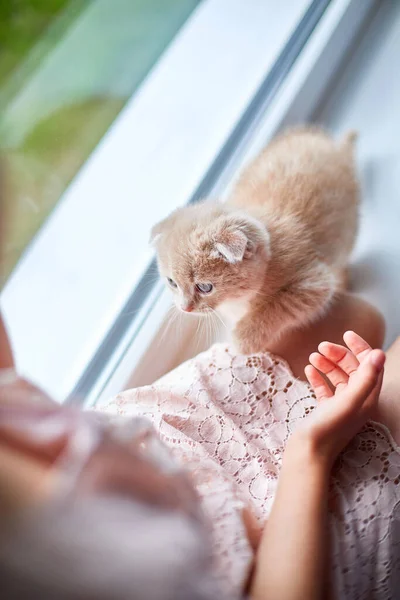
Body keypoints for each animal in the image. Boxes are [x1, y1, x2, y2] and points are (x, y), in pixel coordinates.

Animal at [152, 125, 360, 352]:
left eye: (205, 287)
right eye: (172, 282)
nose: (185, 308)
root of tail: (330, 144)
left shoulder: (313, 281)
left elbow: (279, 305)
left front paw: (243, 339)